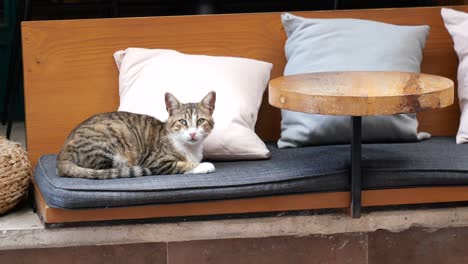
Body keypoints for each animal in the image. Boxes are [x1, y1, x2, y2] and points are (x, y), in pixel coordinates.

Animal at [56, 91, 216, 179]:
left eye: (200, 121)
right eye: (182, 121)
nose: (192, 133)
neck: (190, 148)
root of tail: (62, 155)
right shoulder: (157, 162)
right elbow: (182, 165)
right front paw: (204, 165)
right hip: (114, 131)